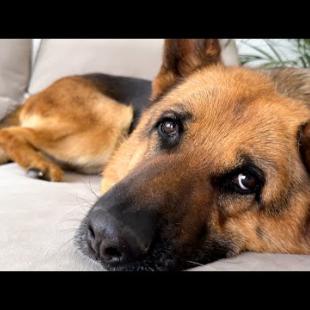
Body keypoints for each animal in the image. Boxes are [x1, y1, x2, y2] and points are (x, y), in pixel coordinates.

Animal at [1, 39, 310, 272]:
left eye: (246, 180)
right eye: (169, 126)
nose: (104, 236)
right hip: (107, 123)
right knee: (10, 132)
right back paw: (39, 163)